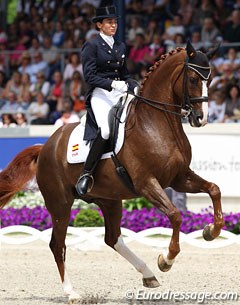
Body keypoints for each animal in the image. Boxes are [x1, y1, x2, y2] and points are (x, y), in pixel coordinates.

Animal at [0, 42, 225, 302]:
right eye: (192, 78)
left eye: (211, 79)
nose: (201, 118)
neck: (155, 122)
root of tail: (45, 145)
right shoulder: (147, 183)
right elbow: (175, 215)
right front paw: (166, 260)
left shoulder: (179, 178)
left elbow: (214, 189)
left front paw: (211, 231)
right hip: (60, 203)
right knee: (58, 244)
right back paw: (72, 292)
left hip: (109, 200)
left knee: (112, 238)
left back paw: (148, 275)